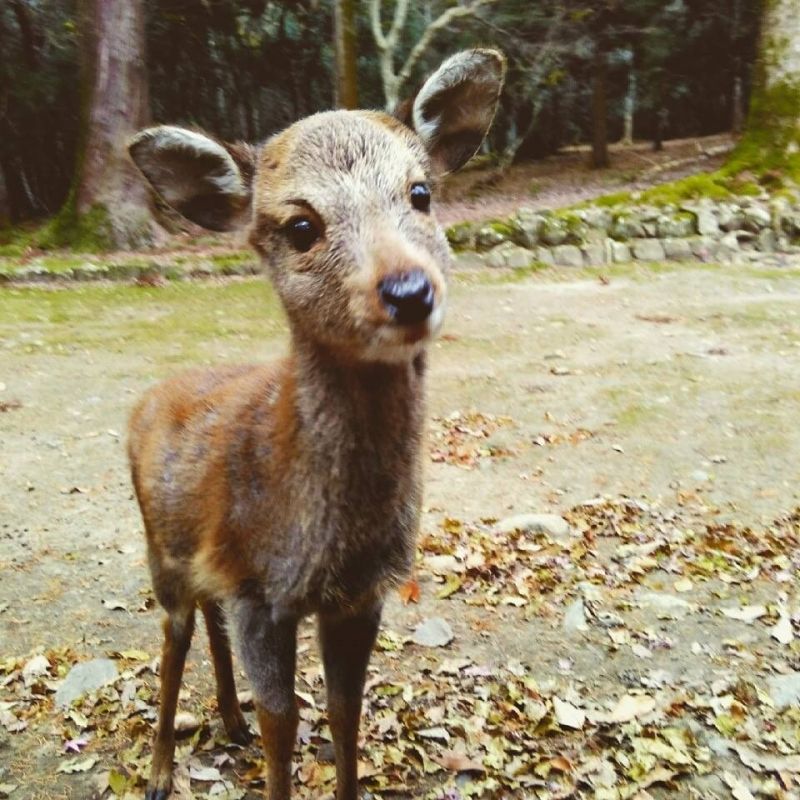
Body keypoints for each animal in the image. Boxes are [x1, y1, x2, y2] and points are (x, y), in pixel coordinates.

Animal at [127, 51, 504, 800]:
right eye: (301, 226)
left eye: (421, 193)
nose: (408, 291)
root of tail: (144, 401)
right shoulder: (261, 592)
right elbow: (284, 722)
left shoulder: (360, 594)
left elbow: (343, 708)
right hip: (161, 548)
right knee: (174, 635)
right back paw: (158, 771)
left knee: (207, 621)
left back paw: (228, 720)